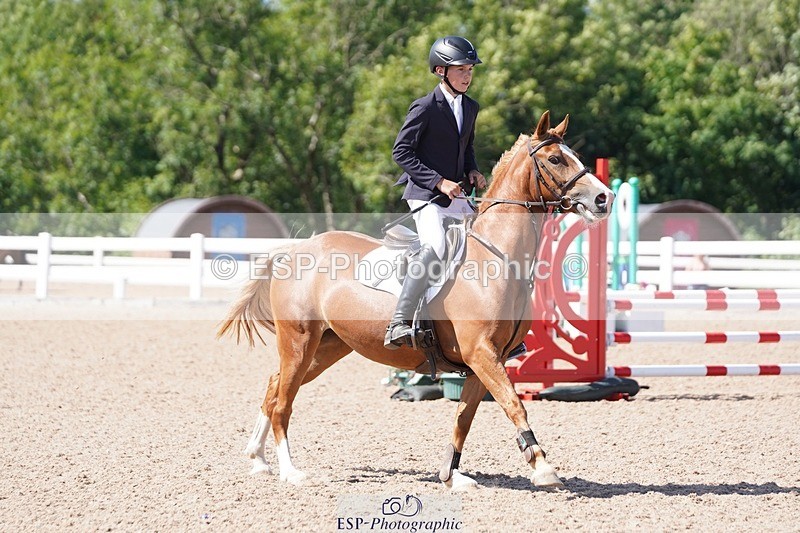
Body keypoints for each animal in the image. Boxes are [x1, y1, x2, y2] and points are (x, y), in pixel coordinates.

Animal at [218, 111, 614, 490]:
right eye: (555, 159)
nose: (604, 198)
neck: (497, 258)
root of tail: (297, 248)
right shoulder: (482, 354)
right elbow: (514, 405)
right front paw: (543, 468)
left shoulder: (485, 361)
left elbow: (463, 419)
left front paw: (452, 476)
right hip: (299, 341)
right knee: (283, 402)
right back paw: (290, 472)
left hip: (329, 346)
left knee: (274, 387)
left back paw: (258, 459)